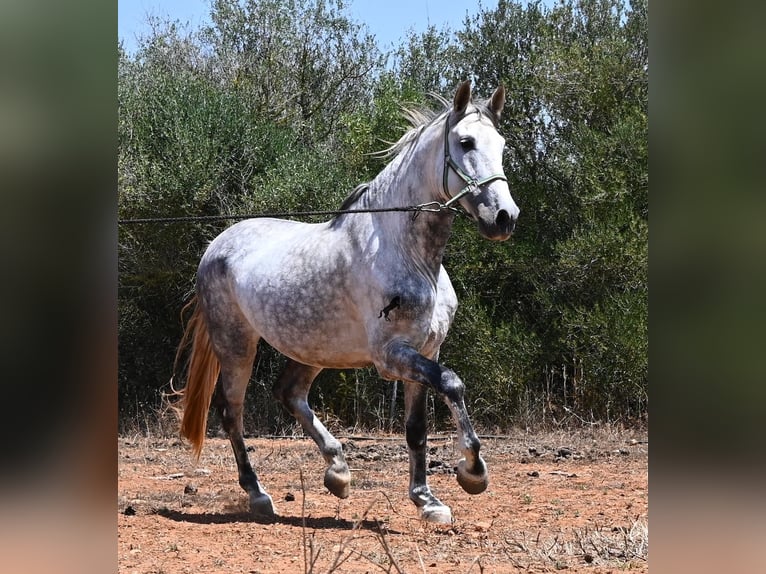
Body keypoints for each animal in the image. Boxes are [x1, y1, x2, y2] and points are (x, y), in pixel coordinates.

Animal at [174, 80, 519, 524]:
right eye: (466, 142)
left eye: (502, 144)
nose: (504, 217)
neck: (409, 254)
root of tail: (216, 246)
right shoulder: (392, 356)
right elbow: (452, 383)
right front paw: (473, 472)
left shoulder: (425, 351)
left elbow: (417, 428)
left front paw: (427, 500)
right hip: (236, 344)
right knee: (231, 411)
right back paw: (259, 495)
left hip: (311, 347)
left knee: (289, 393)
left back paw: (337, 471)